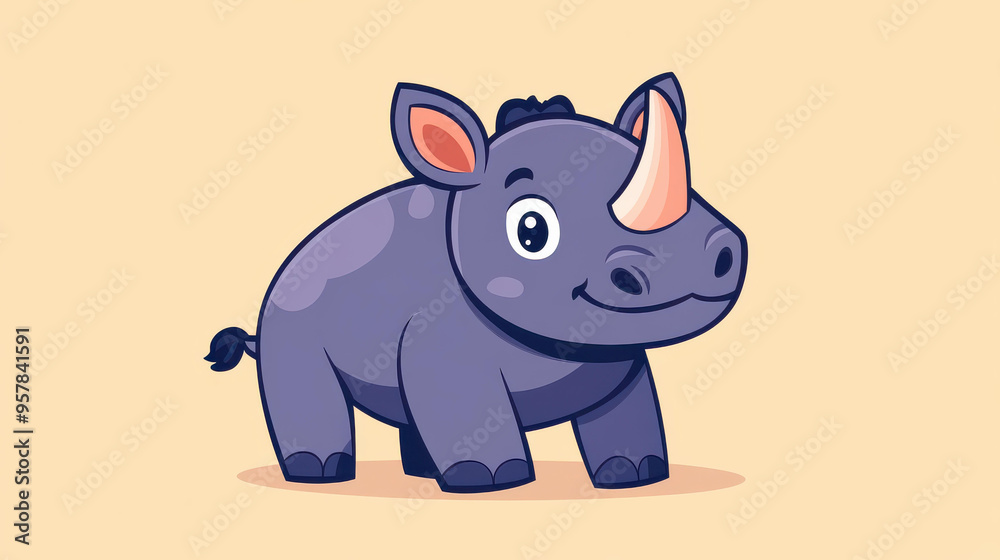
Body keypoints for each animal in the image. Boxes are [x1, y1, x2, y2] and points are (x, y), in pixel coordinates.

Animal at [206, 72, 748, 493]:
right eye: (531, 230)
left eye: (694, 193)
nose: (716, 250)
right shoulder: (444, 349)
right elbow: (467, 409)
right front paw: (490, 479)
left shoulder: (624, 364)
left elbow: (628, 416)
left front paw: (637, 475)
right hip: (286, 321)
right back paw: (319, 473)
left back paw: (422, 474)